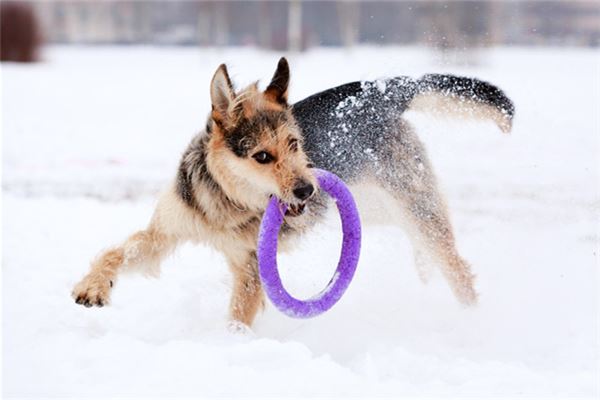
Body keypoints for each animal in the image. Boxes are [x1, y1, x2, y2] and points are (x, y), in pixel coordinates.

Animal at [69, 58, 510, 328]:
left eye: (296, 144)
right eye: (262, 156)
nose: (308, 189)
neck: (228, 202)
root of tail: (381, 92)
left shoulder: (251, 269)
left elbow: (238, 315)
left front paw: (231, 345)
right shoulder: (166, 231)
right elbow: (119, 252)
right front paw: (92, 287)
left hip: (415, 207)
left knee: (457, 266)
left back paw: (471, 324)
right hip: (378, 208)